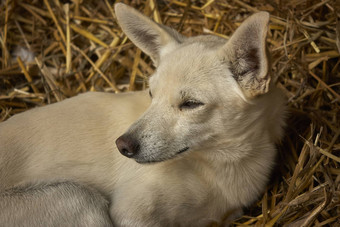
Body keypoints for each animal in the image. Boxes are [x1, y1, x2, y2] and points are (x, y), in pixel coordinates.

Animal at [0, 3, 286, 227]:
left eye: (191, 104)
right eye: (151, 94)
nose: (122, 145)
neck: (223, 164)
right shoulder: (130, 213)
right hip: (78, 197)